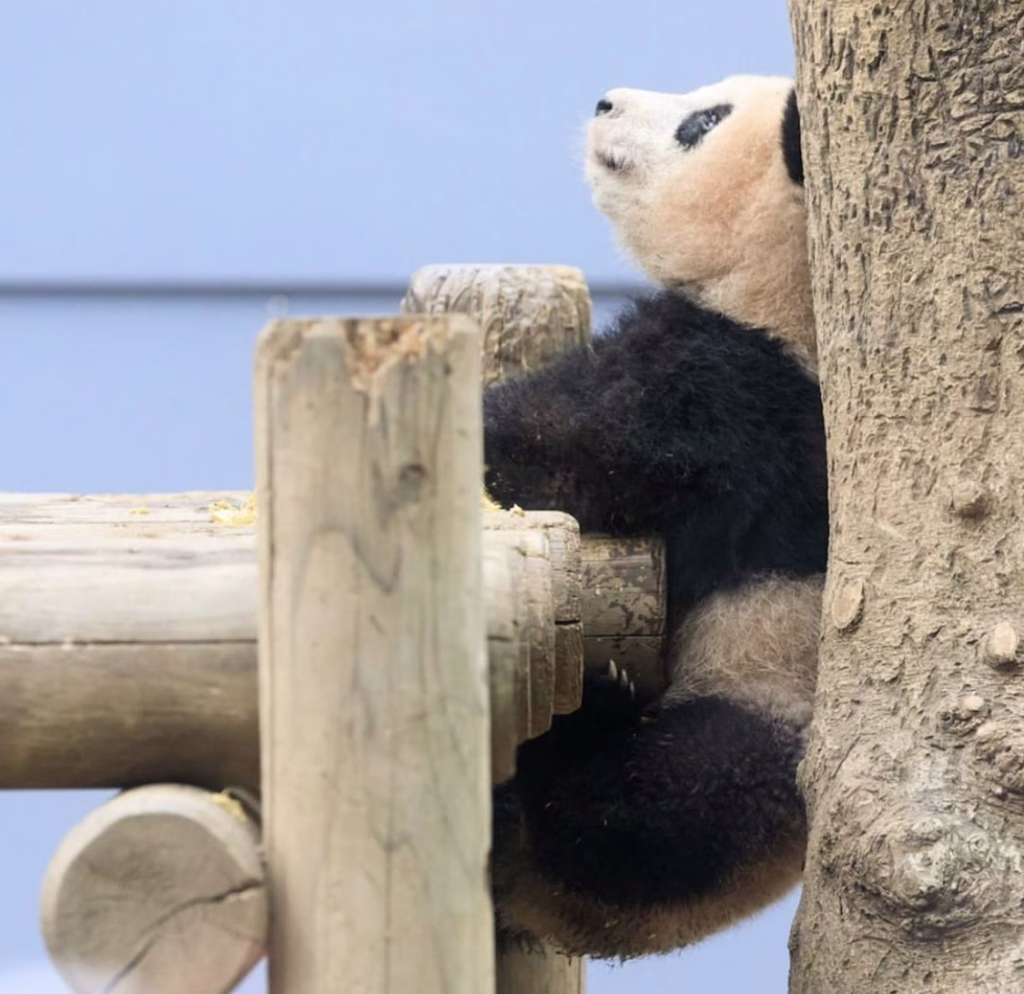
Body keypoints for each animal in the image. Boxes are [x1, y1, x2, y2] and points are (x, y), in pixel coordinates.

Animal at [485, 76, 827, 960]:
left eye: (702, 122)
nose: (605, 103)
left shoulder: (735, 391)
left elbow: (567, 458)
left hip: (761, 701)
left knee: (660, 812)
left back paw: (579, 730)